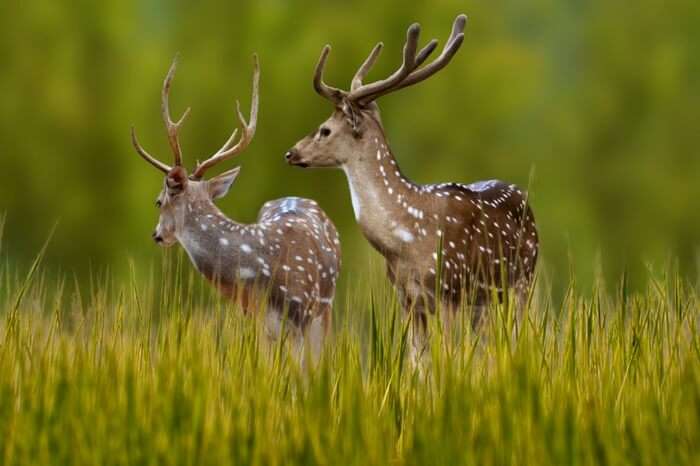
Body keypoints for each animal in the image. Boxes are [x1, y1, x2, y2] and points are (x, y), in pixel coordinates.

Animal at [288, 14, 540, 362]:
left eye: (324, 130)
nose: (291, 153)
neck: (403, 241)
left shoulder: (448, 288)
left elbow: (447, 356)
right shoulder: (406, 297)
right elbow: (416, 362)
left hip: (523, 282)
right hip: (484, 301)